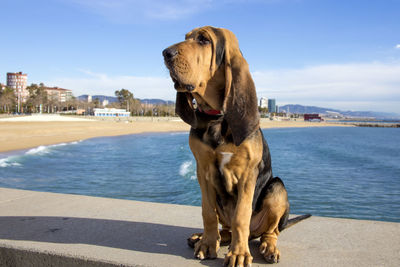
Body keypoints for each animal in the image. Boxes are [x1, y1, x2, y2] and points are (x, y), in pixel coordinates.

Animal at [162, 26, 310, 266]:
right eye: (186, 38)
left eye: (203, 40)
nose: (166, 53)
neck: (217, 117)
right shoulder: (203, 170)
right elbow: (208, 212)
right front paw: (207, 244)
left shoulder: (248, 174)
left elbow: (242, 215)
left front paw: (239, 254)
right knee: (227, 228)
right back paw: (204, 237)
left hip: (277, 188)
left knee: (269, 231)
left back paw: (268, 247)